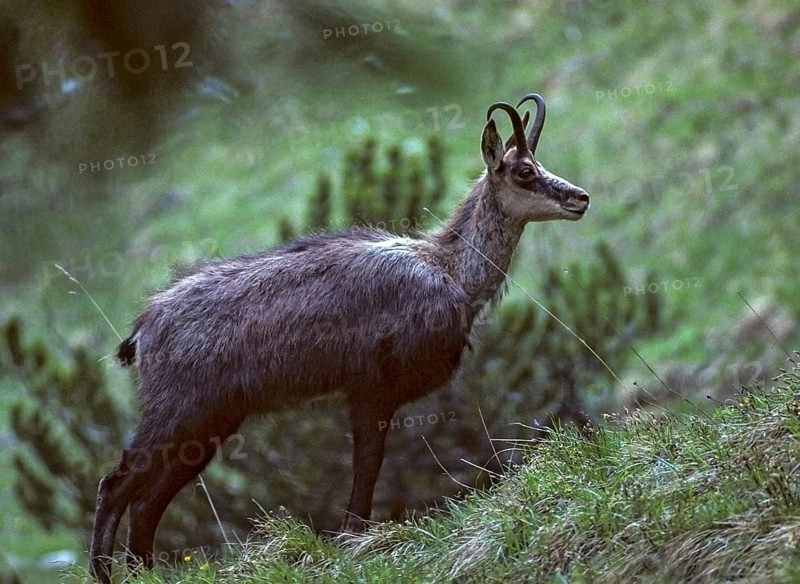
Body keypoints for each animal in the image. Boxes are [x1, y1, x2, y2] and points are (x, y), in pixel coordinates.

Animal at [89, 93, 589, 583]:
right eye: (524, 171)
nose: (581, 198)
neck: (449, 272)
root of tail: (144, 328)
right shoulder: (371, 388)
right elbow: (368, 464)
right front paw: (355, 537)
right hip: (180, 411)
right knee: (116, 484)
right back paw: (103, 572)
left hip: (208, 422)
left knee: (148, 500)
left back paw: (143, 569)